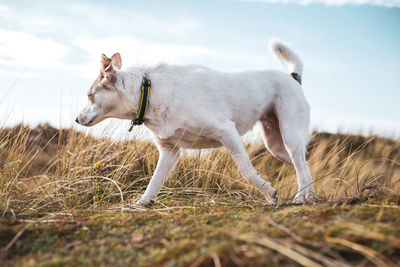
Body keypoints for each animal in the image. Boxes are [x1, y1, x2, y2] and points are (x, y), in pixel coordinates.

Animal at [76, 38, 316, 206]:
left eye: (89, 95)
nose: (76, 120)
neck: (148, 92)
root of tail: (293, 77)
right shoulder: (170, 152)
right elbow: (154, 181)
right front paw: (142, 203)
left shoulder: (227, 132)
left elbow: (246, 171)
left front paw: (269, 192)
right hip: (276, 145)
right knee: (304, 165)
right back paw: (310, 197)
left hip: (289, 135)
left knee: (300, 165)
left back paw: (300, 198)